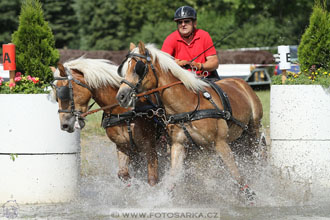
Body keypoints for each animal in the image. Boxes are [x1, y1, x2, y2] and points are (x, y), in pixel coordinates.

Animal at [50, 57, 160, 186]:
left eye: (64, 93)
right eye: (56, 97)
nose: (65, 125)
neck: (125, 111)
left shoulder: (149, 146)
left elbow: (152, 179)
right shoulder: (124, 146)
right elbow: (123, 174)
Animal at [116, 42, 262, 201]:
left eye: (138, 68)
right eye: (123, 69)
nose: (121, 96)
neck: (188, 106)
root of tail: (240, 82)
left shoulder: (220, 142)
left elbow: (235, 173)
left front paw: (250, 195)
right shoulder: (178, 144)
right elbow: (173, 177)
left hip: (253, 129)